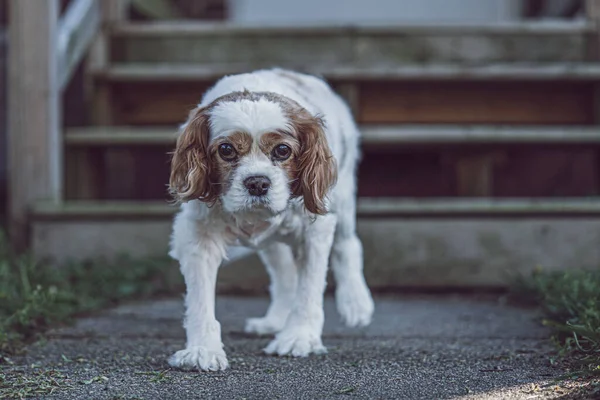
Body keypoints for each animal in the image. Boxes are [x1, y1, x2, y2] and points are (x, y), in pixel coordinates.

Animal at [169, 67, 372, 370]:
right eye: (226, 150)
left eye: (282, 151)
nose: (257, 183)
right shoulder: (199, 236)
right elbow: (200, 298)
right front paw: (202, 349)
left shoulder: (314, 232)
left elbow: (309, 289)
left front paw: (299, 337)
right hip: (272, 244)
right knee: (284, 274)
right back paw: (274, 321)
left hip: (343, 199)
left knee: (348, 245)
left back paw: (355, 303)